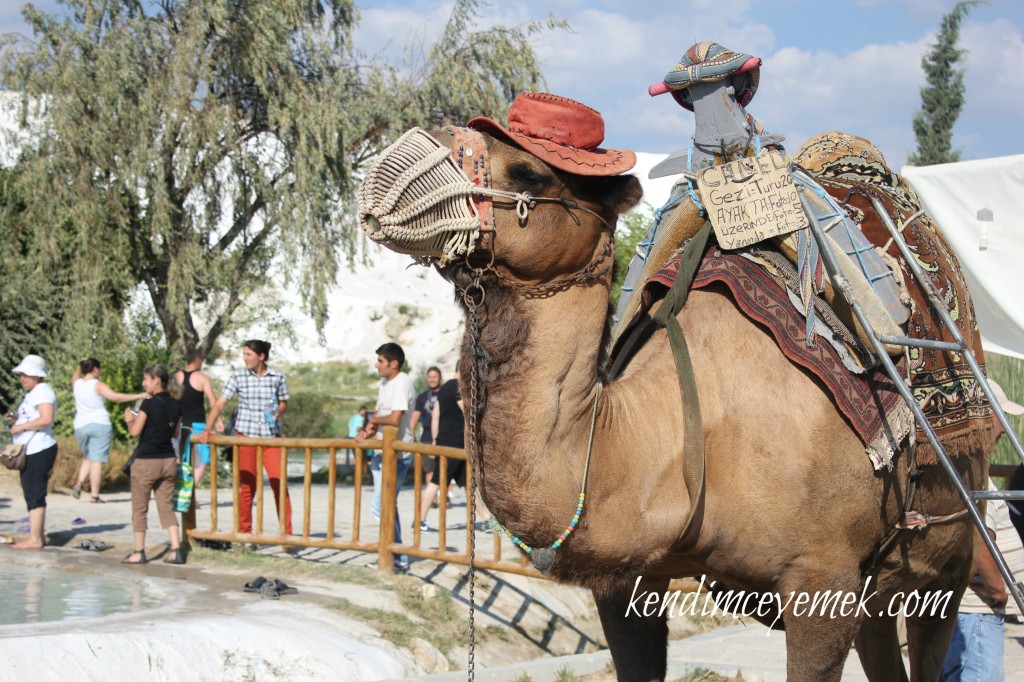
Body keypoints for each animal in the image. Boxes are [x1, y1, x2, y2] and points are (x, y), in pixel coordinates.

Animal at [360, 96, 991, 679]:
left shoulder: (824, 575)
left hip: (949, 553)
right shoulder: (626, 580)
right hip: (883, 584)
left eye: (528, 172)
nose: (389, 166)